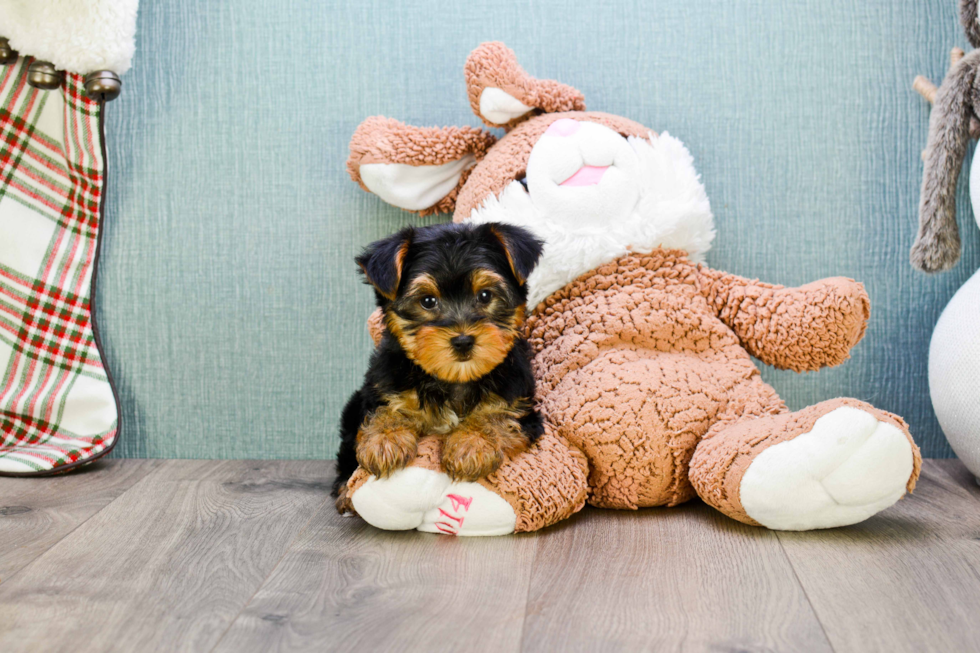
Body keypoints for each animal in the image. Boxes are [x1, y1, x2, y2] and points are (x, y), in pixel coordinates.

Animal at [334, 222, 548, 506]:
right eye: (427, 301)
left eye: (485, 295)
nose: (463, 340)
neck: (454, 378)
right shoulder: (384, 385)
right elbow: (385, 410)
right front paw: (385, 439)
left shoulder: (521, 406)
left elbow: (497, 415)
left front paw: (471, 444)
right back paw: (344, 490)